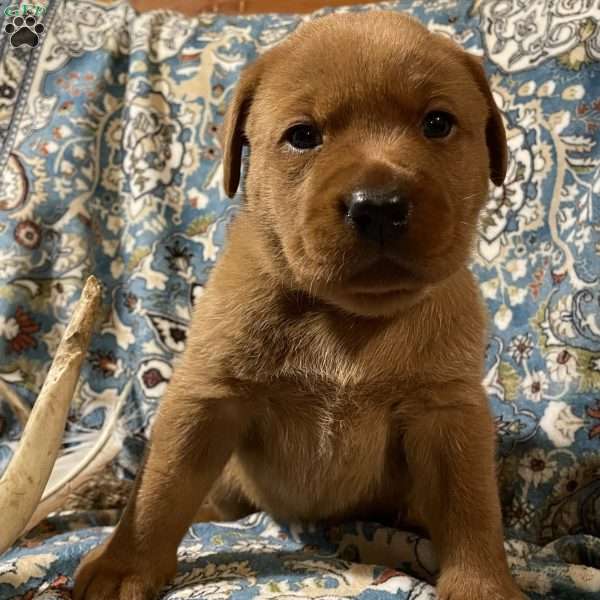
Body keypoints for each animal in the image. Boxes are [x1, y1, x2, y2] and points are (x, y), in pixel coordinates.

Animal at [74, 10, 524, 600]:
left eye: (437, 123)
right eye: (303, 136)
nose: (378, 205)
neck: (347, 319)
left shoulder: (447, 412)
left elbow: (471, 509)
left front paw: (482, 583)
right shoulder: (207, 398)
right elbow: (160, 490)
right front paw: (122, 566)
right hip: (231, 481)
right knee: (208, 503)